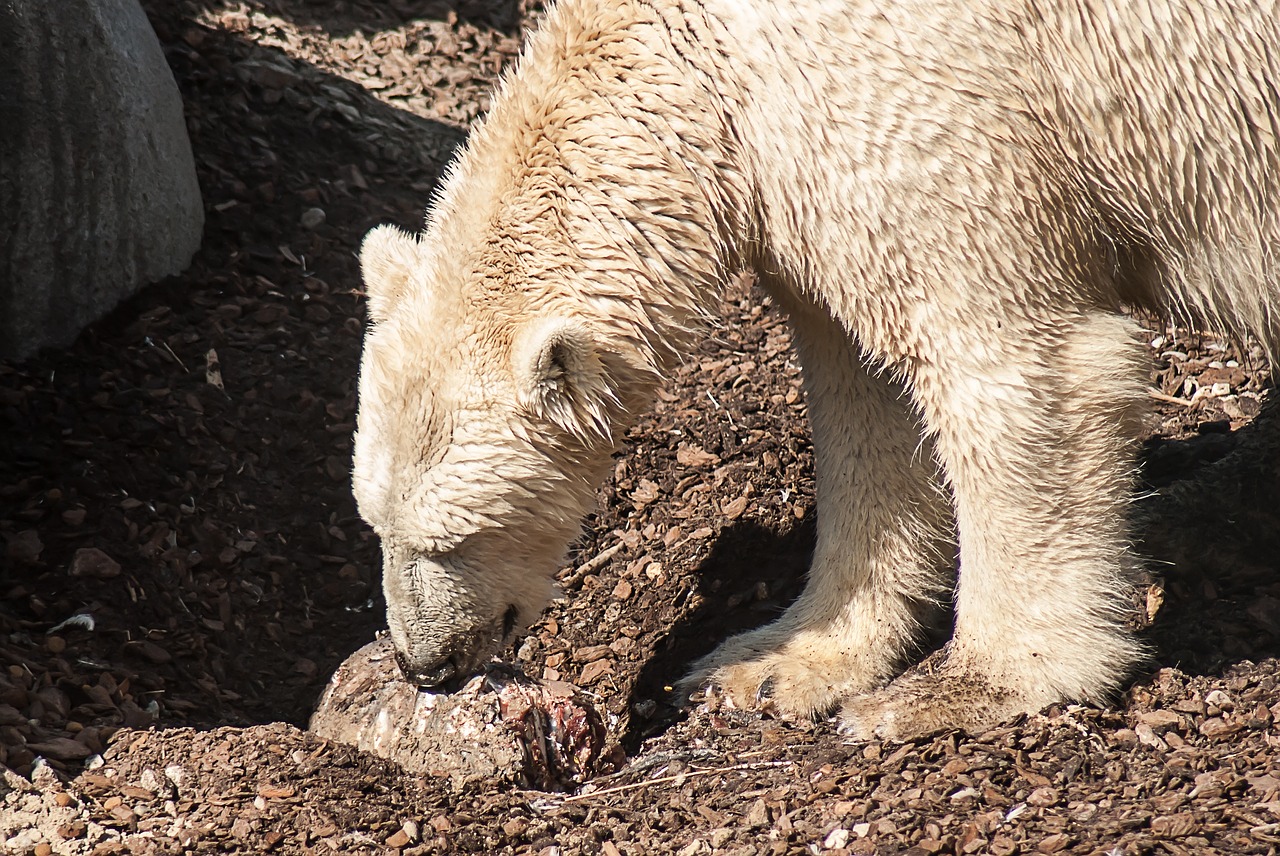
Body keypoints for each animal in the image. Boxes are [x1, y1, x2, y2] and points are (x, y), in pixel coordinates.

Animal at [353, 0, 1280, 737]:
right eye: (376, 523)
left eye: (455, 536)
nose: (425, 666)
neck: (703, 53)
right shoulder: (803, 175)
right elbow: (863, 393)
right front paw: (776, 661)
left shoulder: (920, 114)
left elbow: (1019, 368)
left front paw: (963, 687)